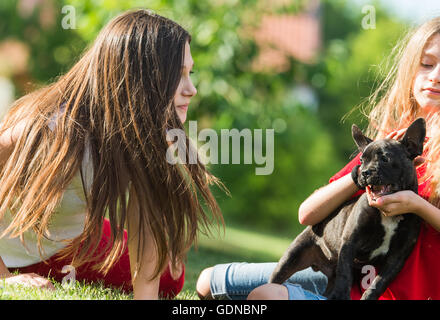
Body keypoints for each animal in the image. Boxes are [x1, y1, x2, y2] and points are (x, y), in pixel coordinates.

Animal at [270, 117, 424, 300]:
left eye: (385, 159)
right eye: (361, 161)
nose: (364, 172)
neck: (386, 215)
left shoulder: (397, 257)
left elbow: (379, 283)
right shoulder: (350, 242)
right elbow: (345, 275)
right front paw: (342, 295)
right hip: (291, 258)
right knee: (277, 278)